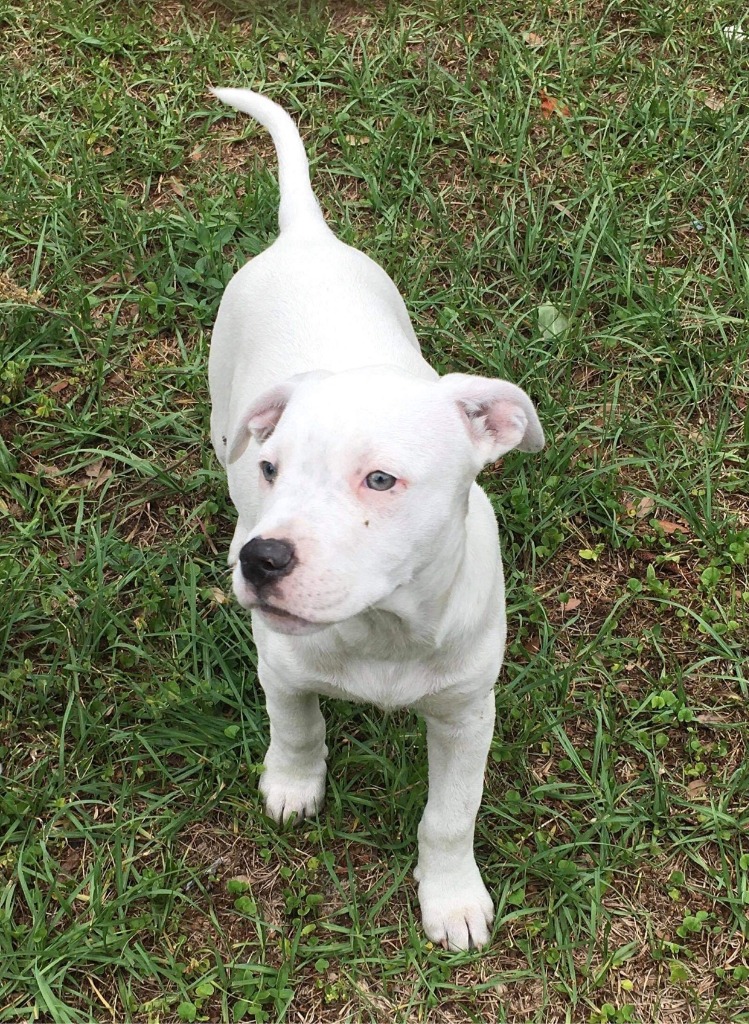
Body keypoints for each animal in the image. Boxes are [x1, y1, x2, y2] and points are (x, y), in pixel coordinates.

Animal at [208, 87, 544, 951]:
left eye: (380, 480)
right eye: (271, 471)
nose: (260, 559)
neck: (384, 629)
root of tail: (306, 236)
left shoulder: (466, 713)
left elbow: (449, 816)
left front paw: (451, 898)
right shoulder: (282, 668)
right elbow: (296, 727)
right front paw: (292, 784)